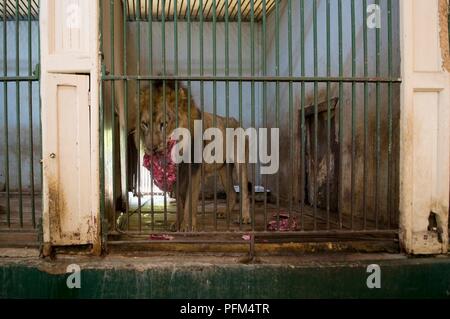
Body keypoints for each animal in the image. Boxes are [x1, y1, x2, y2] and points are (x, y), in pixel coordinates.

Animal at [134, 80, 253, 232]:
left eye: (163, 124)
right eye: (144, 124)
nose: (151, 149)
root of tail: (236, 121)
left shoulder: (194, 171)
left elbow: (190, 200)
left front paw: (187, 226)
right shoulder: (177, 173)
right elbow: (180, 202)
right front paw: (177, 224)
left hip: (240, 163)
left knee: (244, 192)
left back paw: (245, 217)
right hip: (223, 169)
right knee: (232, 193)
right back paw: (224, 213)